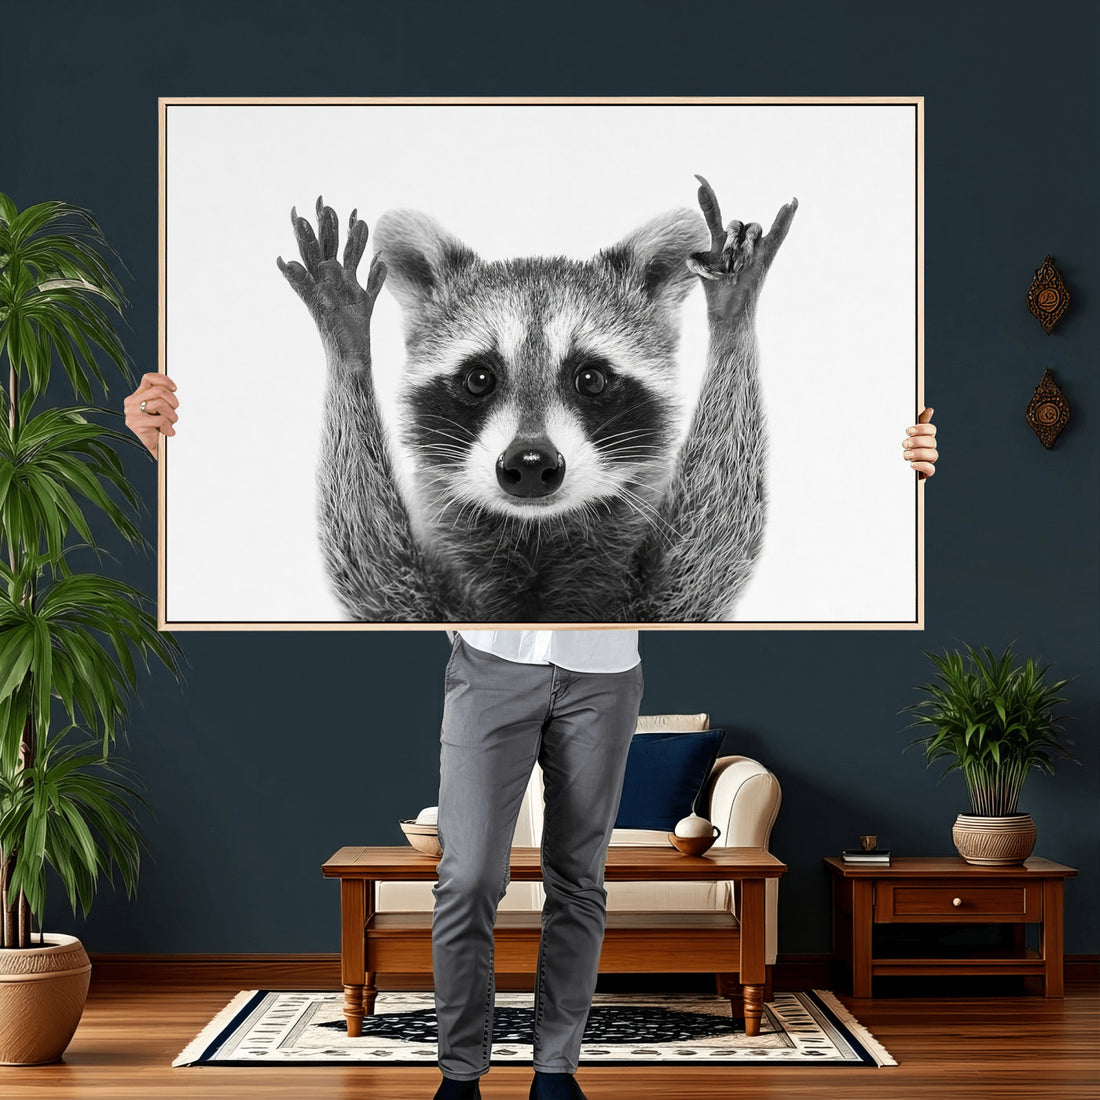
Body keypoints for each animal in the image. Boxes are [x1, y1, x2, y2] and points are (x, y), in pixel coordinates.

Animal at [277, 178, 797, 622]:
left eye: (590, 379)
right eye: (479, 379)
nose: (530, 463)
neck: (535, 535)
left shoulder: (663, 598)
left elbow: (712, 545)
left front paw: (732, 316)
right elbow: (369, 567)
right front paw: (347, 343)